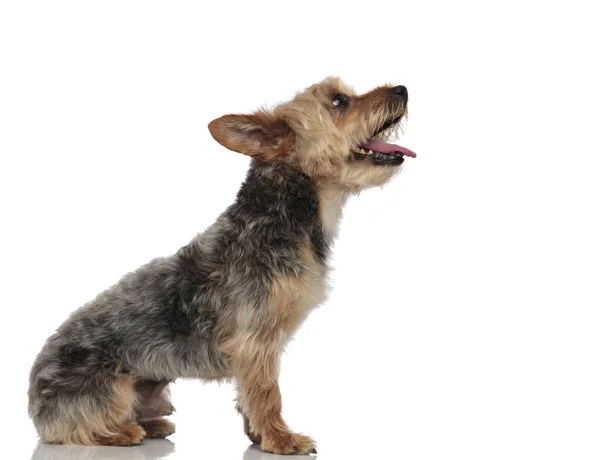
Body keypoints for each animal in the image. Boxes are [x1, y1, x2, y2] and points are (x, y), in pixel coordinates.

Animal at [27, 77, 412, 454]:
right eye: (337, 101)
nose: (402, 89)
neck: (284, 214)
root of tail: (32, 399)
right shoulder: (256, 340)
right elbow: (266, 392)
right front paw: (280, 438)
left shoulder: (258, 346)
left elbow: (250, 393)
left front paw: (258, 434)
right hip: (110, 389)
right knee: (78, 428)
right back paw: (122, 432)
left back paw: (152, 424)